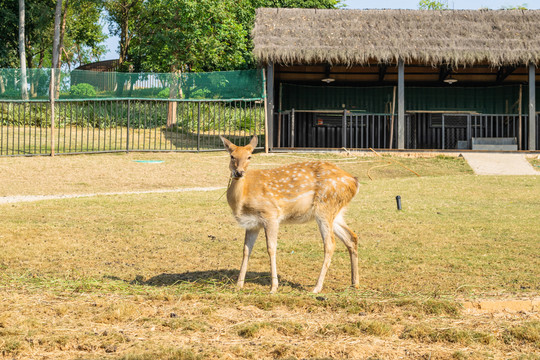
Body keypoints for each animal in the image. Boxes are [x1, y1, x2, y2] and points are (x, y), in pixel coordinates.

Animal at [219, 135, 358, 292]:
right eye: (232, 156)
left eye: (249, 156)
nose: (239, 172)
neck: (242, 199)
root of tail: (354, 182)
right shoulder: (252, 224)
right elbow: (246, 250)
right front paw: (238, 285)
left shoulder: (271, 214)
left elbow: (271, 248)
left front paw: (274, 287)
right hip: (336, 212)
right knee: (351, 237)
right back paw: (354, 282)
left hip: (325, 207)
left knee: (330, 244)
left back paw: (317, 287)